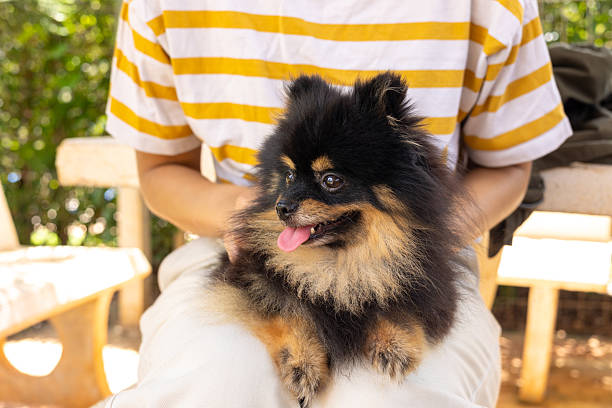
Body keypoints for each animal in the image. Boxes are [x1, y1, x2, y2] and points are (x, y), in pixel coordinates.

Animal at [210, 72, 466, 407]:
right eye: (289, 176)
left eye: (331, 180)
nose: (281, 207)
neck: (340, 262)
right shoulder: (248, 274)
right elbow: (287, 310)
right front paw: (303, 364)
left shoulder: (429, 277)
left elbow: (397, 301)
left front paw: (394, 345)